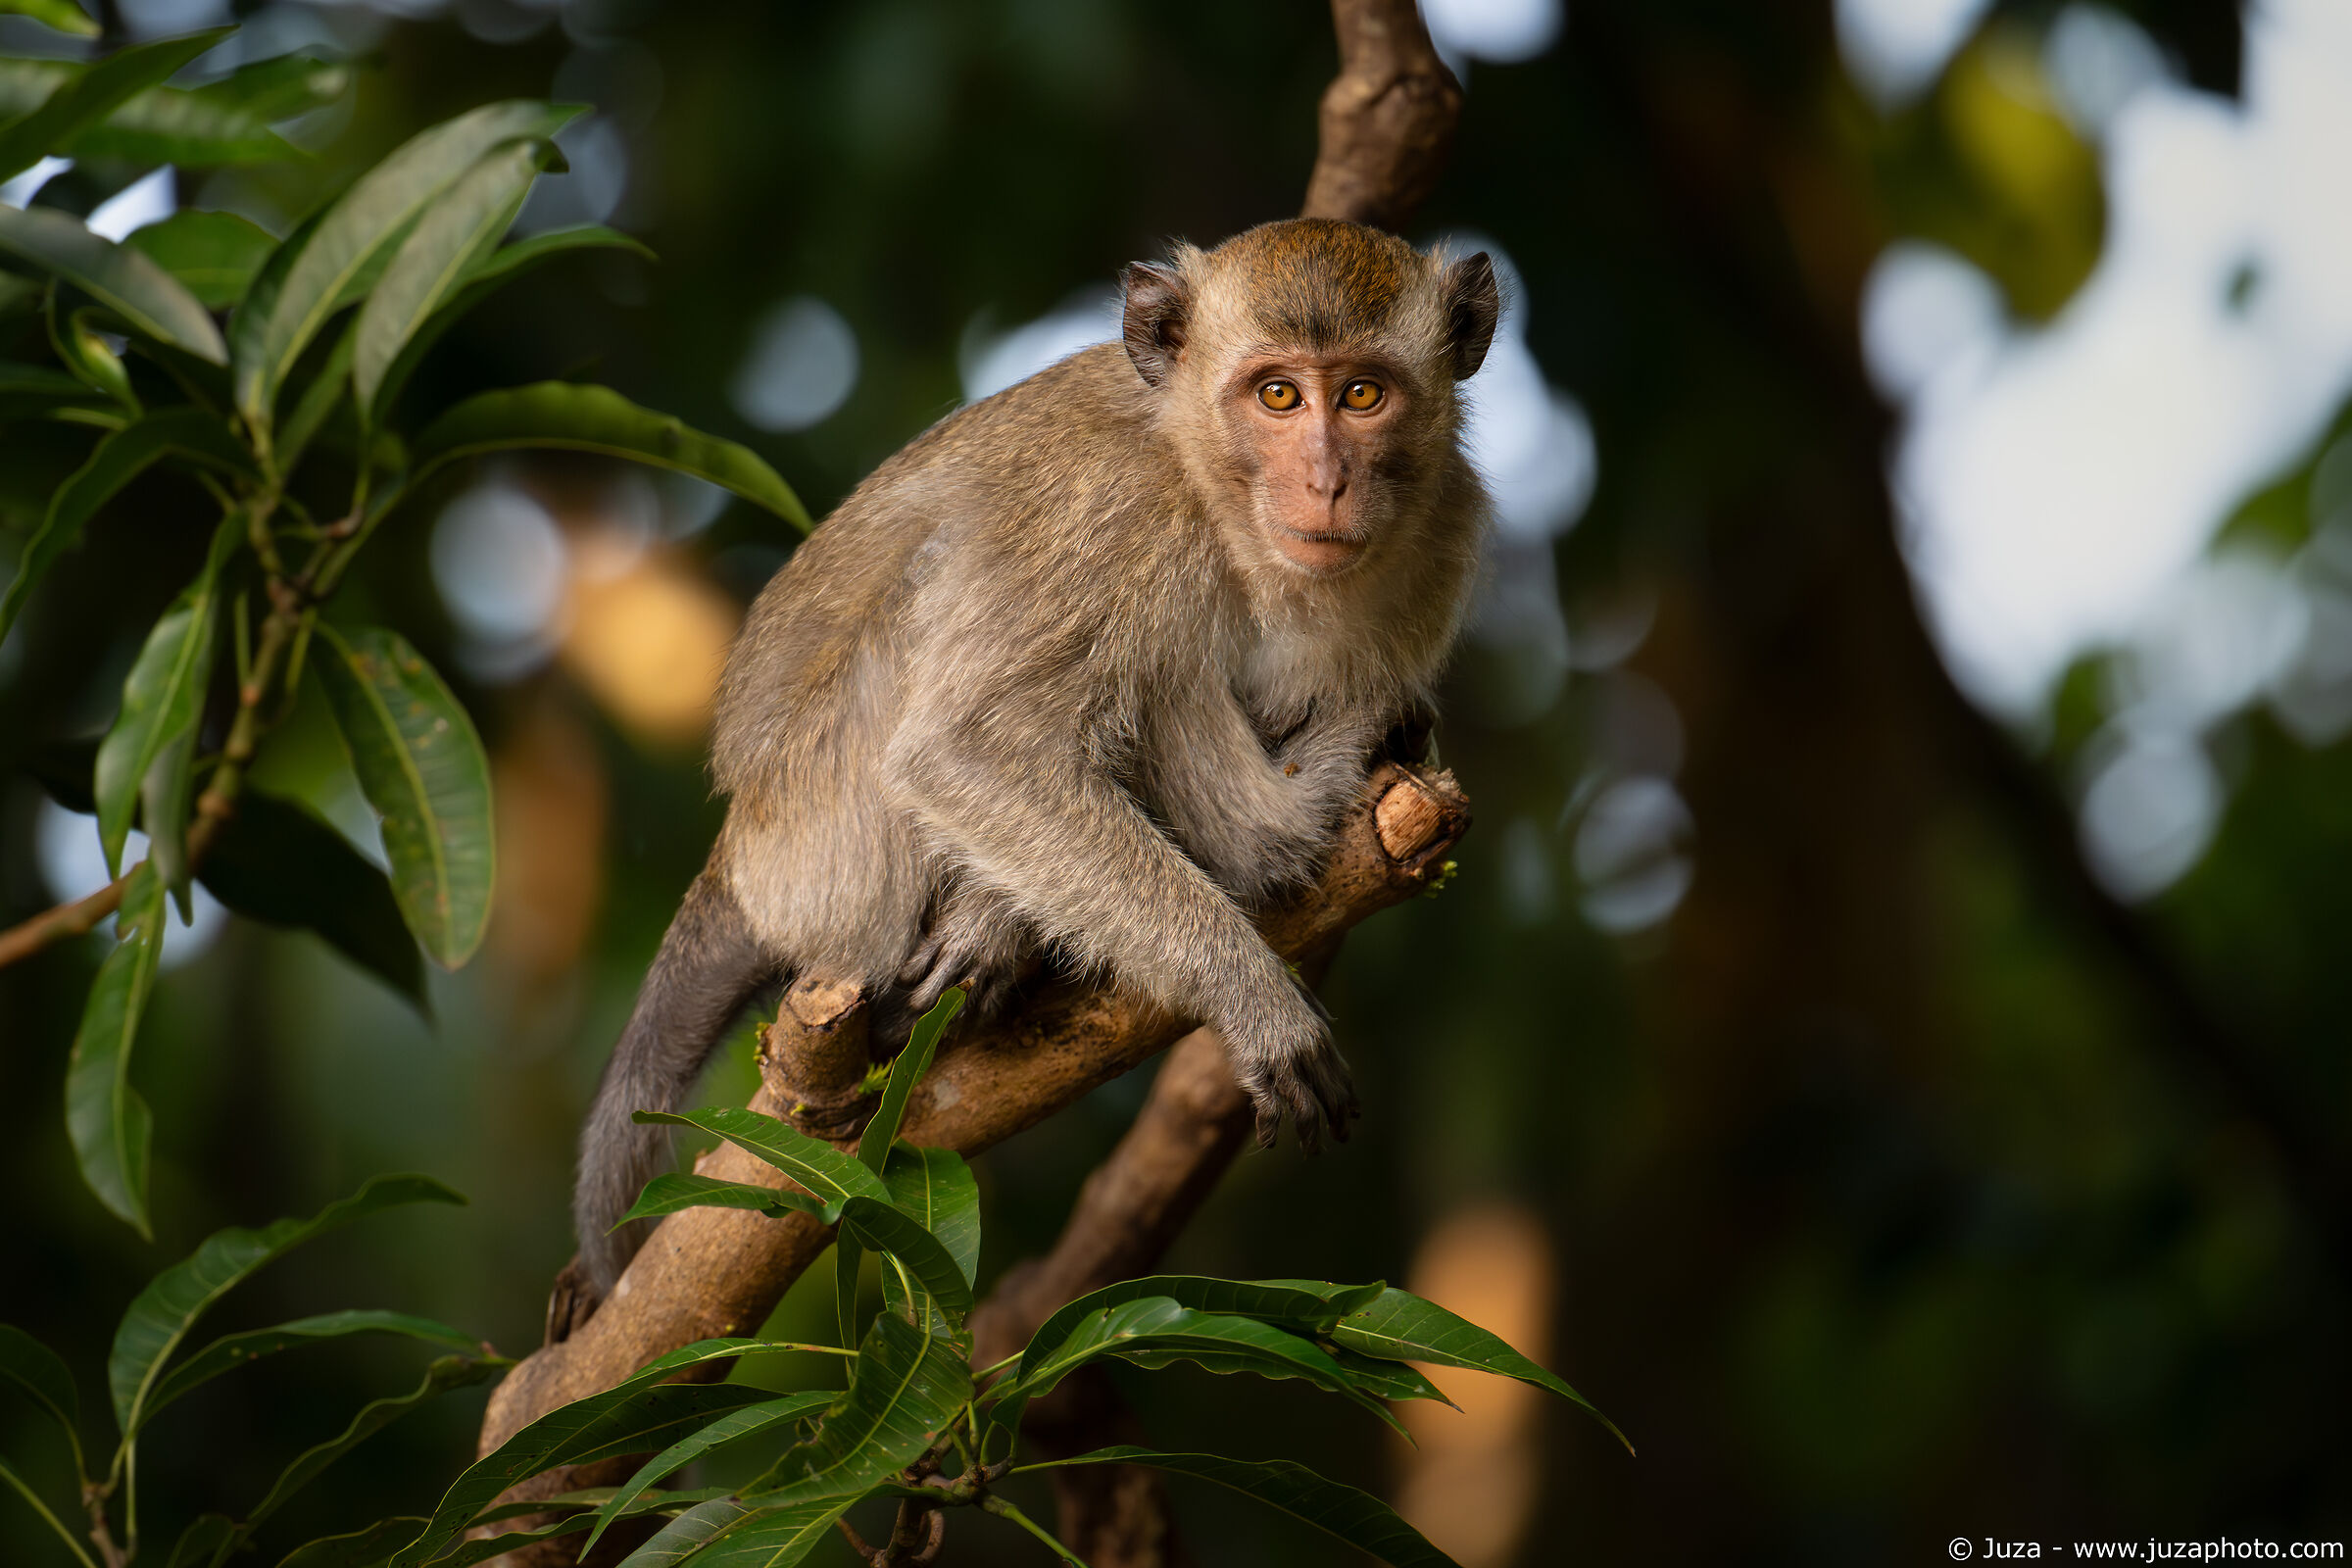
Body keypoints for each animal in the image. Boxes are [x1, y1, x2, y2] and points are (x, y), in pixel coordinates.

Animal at [574, 218, 1499, 1291]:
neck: (1211, 489)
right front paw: (1250, 992)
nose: (1327, 480)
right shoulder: (1121, 516)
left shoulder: (1445, 535)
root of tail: (740, 844)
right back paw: (1265, 828)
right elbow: (967, 751)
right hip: (828, 847)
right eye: (1277, 395)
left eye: (1362, 394)